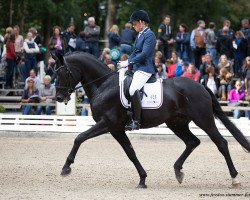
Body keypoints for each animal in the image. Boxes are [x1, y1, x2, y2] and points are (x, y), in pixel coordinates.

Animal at [51, 52, 249, 189]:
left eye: (64, 73)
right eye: (55, 73)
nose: (59, 97)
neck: (104, 85)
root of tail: (201, 86)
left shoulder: (109, 124)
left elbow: (79, 137)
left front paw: (66, 168)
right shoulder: (117, 129)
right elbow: (130, 152)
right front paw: (142, 179)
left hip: (203, 119)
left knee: (221, 143)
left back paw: (235, 179)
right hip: (176, 123)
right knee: (192, 141)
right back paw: (178, 171)